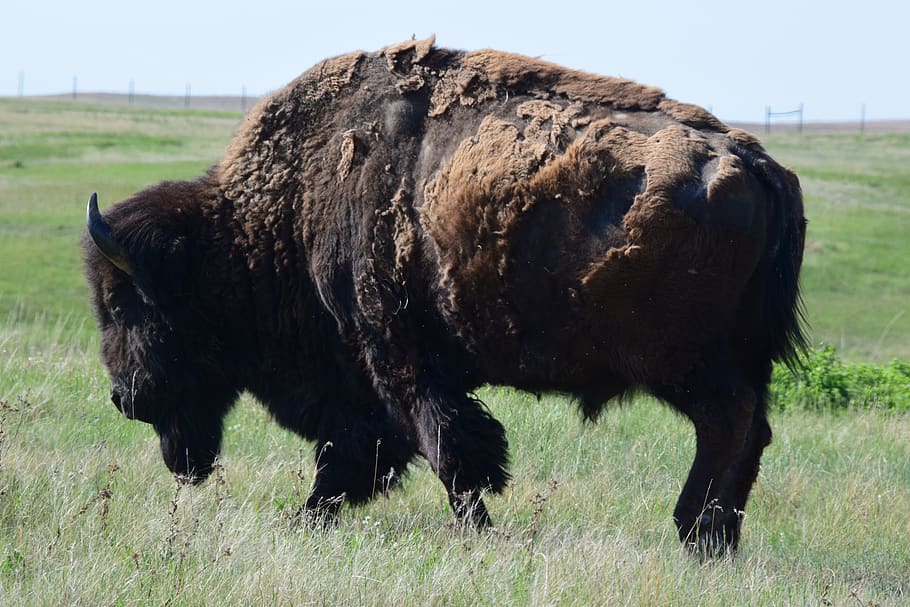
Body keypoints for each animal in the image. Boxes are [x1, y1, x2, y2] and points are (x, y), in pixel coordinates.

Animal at [83, 37, 806, 552]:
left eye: (125, 303)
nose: (123, 397)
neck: (276, 221)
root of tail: (756, 163)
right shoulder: (372, 380)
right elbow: (371, 457)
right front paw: (306, 520)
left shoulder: (396, 357)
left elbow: (446, 450)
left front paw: (477, 534)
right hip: (738, 357)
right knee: (754, 429)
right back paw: (719, 537)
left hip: (682, 362)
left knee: (727, 422)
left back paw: (695, 532)